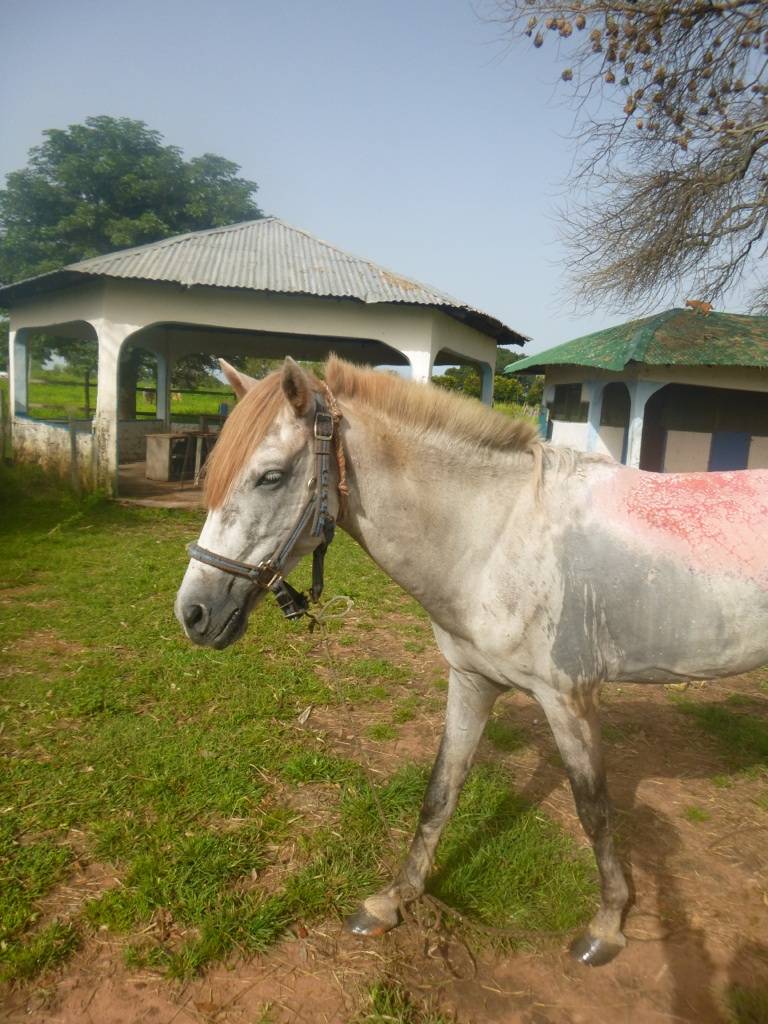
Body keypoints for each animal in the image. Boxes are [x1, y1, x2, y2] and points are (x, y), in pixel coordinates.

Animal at [177, 356, 768, 962]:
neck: (498, 539)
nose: (193, 613)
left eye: (270, 476)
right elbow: (441, 792)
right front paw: (393, 900)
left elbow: (594, 810)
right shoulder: (471, 681)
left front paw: (606, 925)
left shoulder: (570, 699)